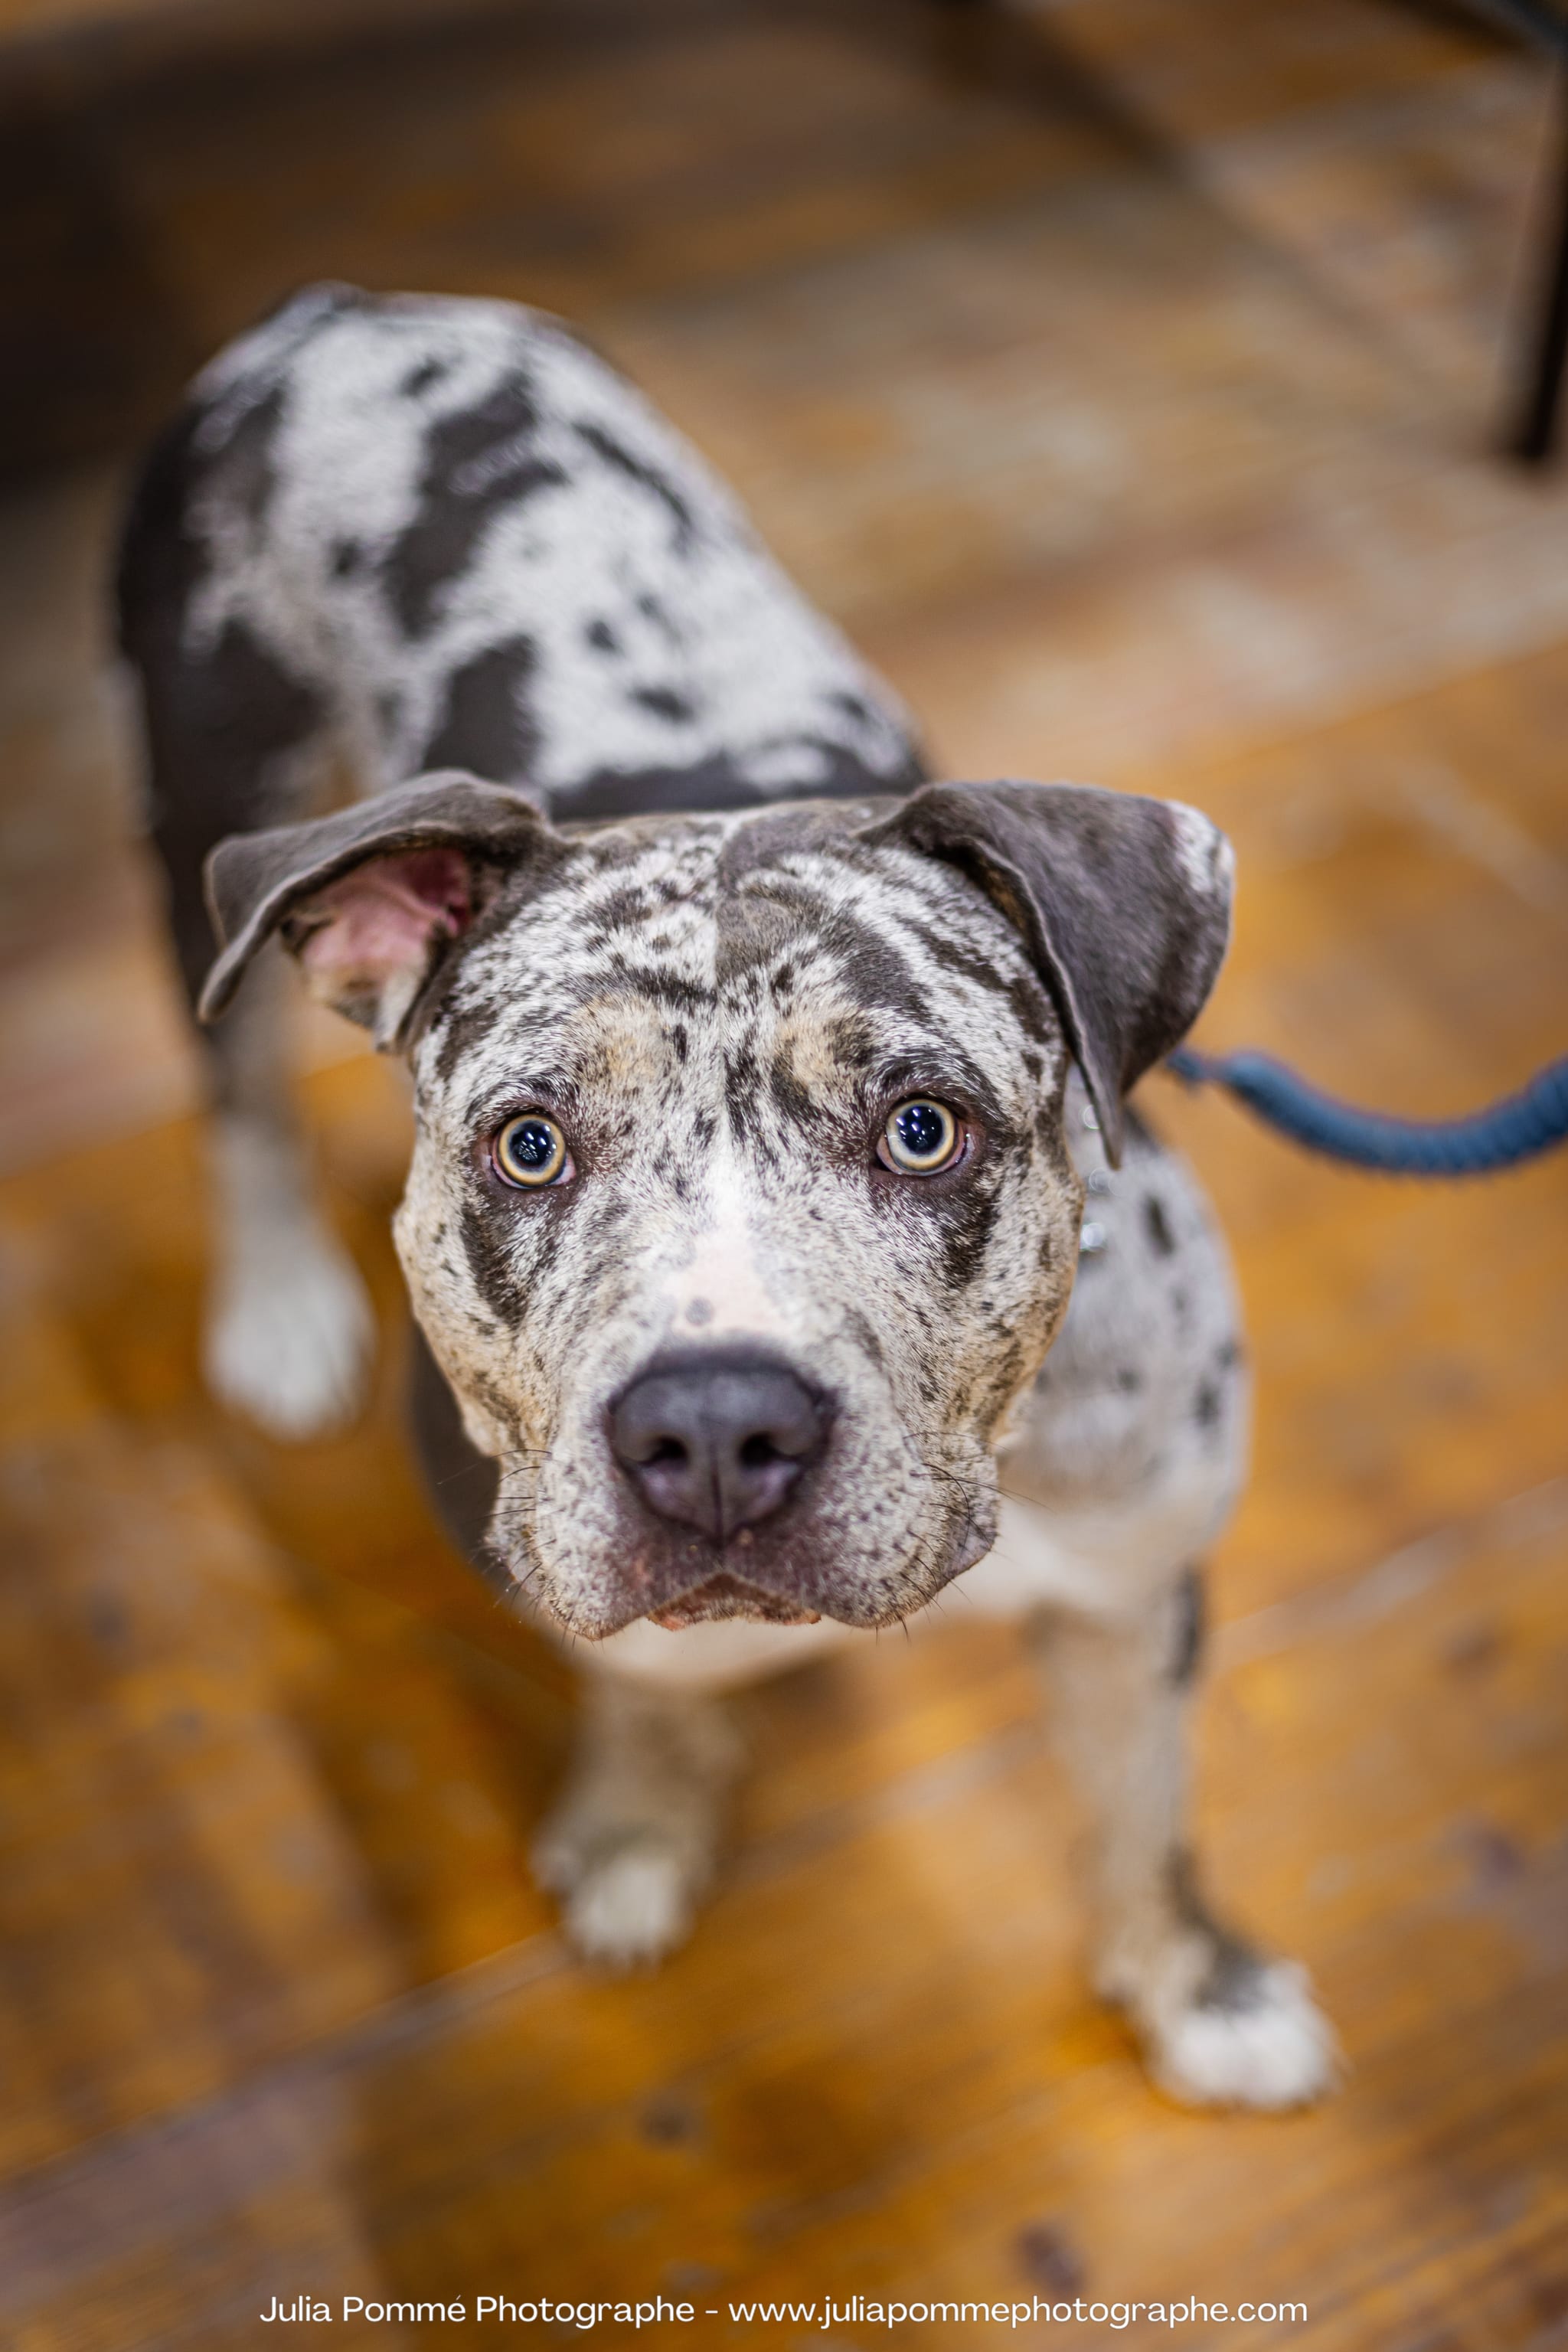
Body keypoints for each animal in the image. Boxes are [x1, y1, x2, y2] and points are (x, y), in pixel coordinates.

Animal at [116, 284, 1335, 2107]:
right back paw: (275, 1309)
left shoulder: (1136, 1589)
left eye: (922, 1128)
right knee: (239, 1091)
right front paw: (638, 1826)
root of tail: (341, 312)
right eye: (528, 1143)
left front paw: (1197, 1985)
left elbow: (1147, 1810)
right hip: (213, 801)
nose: (707, 1427)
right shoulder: (535, 1542)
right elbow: (637, 1689)